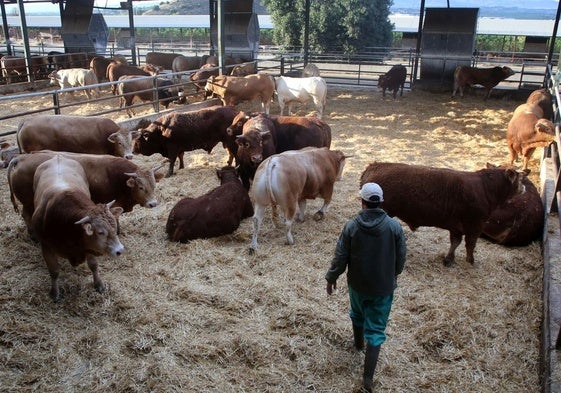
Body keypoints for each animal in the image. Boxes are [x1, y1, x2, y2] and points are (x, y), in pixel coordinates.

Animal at [8, 151, 163, 234]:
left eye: (154, 185)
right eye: (141, 187)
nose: (153, 203)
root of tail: (21, 158)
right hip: (28, 202)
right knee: (26, 215)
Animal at [31, 155, 124, 302]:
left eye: (115, 227)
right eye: (100, 232)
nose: (120, 250)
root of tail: (58, 156)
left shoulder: (88, 245)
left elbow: (93, 265)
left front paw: (99, 284)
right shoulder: (46, 246)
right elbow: (54, 271)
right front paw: (54, 293)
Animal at [358, 161, 524, 264]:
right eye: (518, 178)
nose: (524, 187)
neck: (484, 187)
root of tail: (374, 166)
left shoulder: (457, 228)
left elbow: (455, 242)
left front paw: (449, 259)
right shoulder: (475, 225)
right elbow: (470, 245)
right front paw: (470, 261)